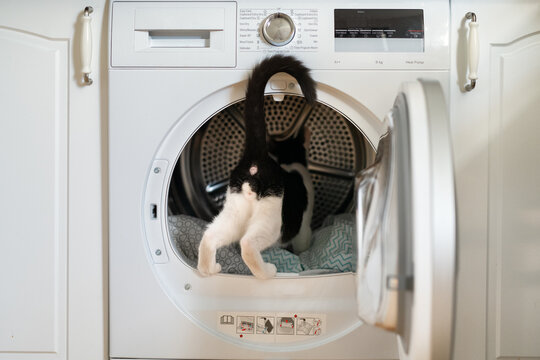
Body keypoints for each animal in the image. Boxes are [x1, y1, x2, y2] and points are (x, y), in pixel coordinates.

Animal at [198, 54, 316, 278]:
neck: (286, 159)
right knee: (248, 244)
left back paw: (209, 269)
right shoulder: (304, 227)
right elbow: (303, 244)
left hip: (234, 212)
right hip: (270, 217)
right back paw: (267, 271)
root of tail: (257, 157)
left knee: (209, 236)